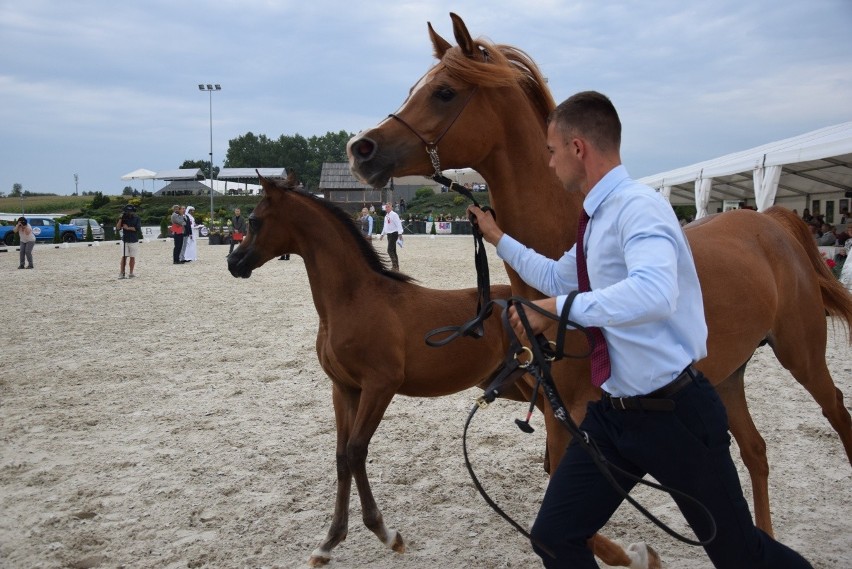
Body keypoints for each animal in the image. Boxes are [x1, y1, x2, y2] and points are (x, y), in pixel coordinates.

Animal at [228, 175, 520, 564]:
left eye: (254, 221)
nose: (234, 262)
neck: (354, 300)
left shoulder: (380, 387)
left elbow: (356, 451)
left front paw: (386, 533)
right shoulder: (344, 388)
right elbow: (341, 457)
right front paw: (329, 541)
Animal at [348, 12, 852, 564]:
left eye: (444, 92)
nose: (361, 149)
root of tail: (770, 222)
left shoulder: (581, 416)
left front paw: (639, 556)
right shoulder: (558, 415)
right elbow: (561, 499)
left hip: (802, 354)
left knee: (836, 413)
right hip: (728, 375)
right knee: (756, 453)